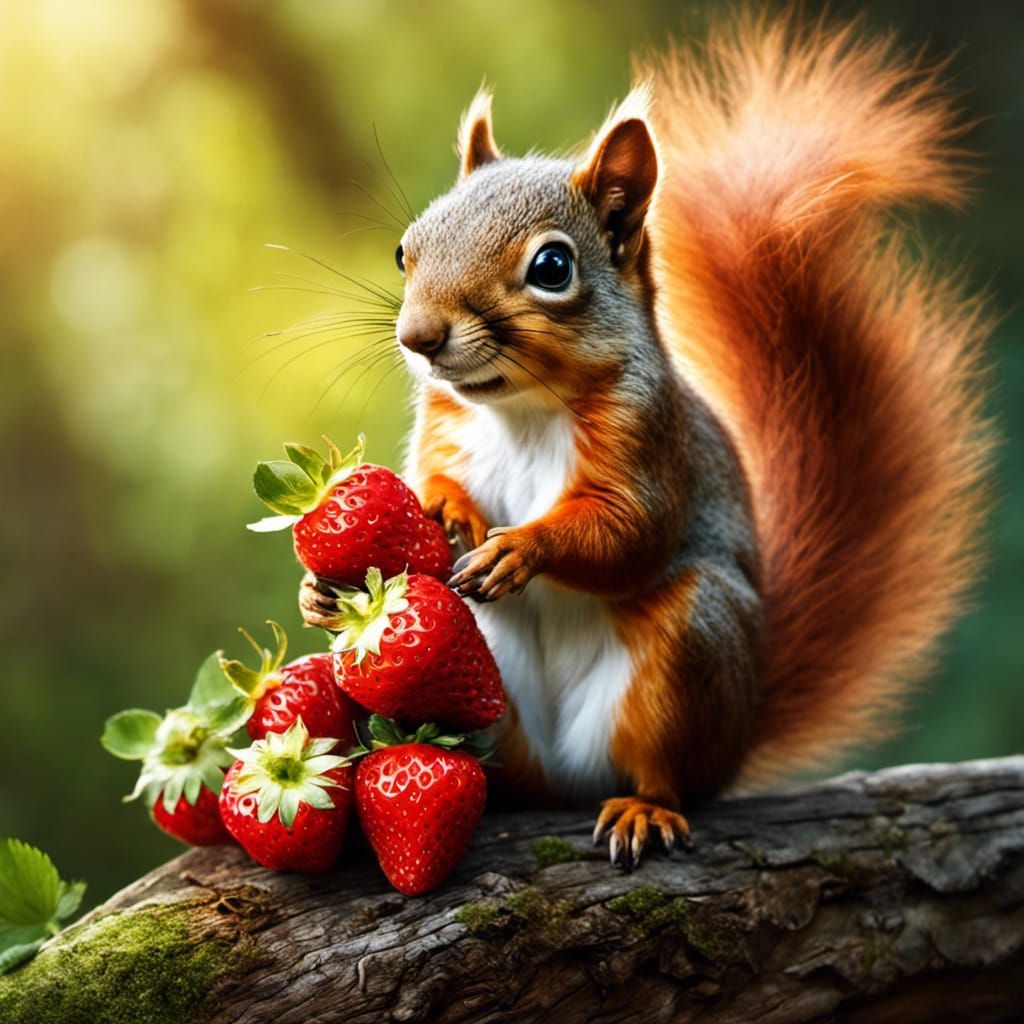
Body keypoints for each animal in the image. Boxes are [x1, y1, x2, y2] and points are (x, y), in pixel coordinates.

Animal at [300, 14, 991, 869]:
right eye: (406, 248)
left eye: (552, 266)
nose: (418, 338)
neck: (523, 411)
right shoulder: (443, 430)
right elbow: (426, 484)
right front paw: (366, 563)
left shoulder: (652, 444)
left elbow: (630, 533)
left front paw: (519, 547)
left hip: (691, 650)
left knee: (668, 768)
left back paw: (644, 809)